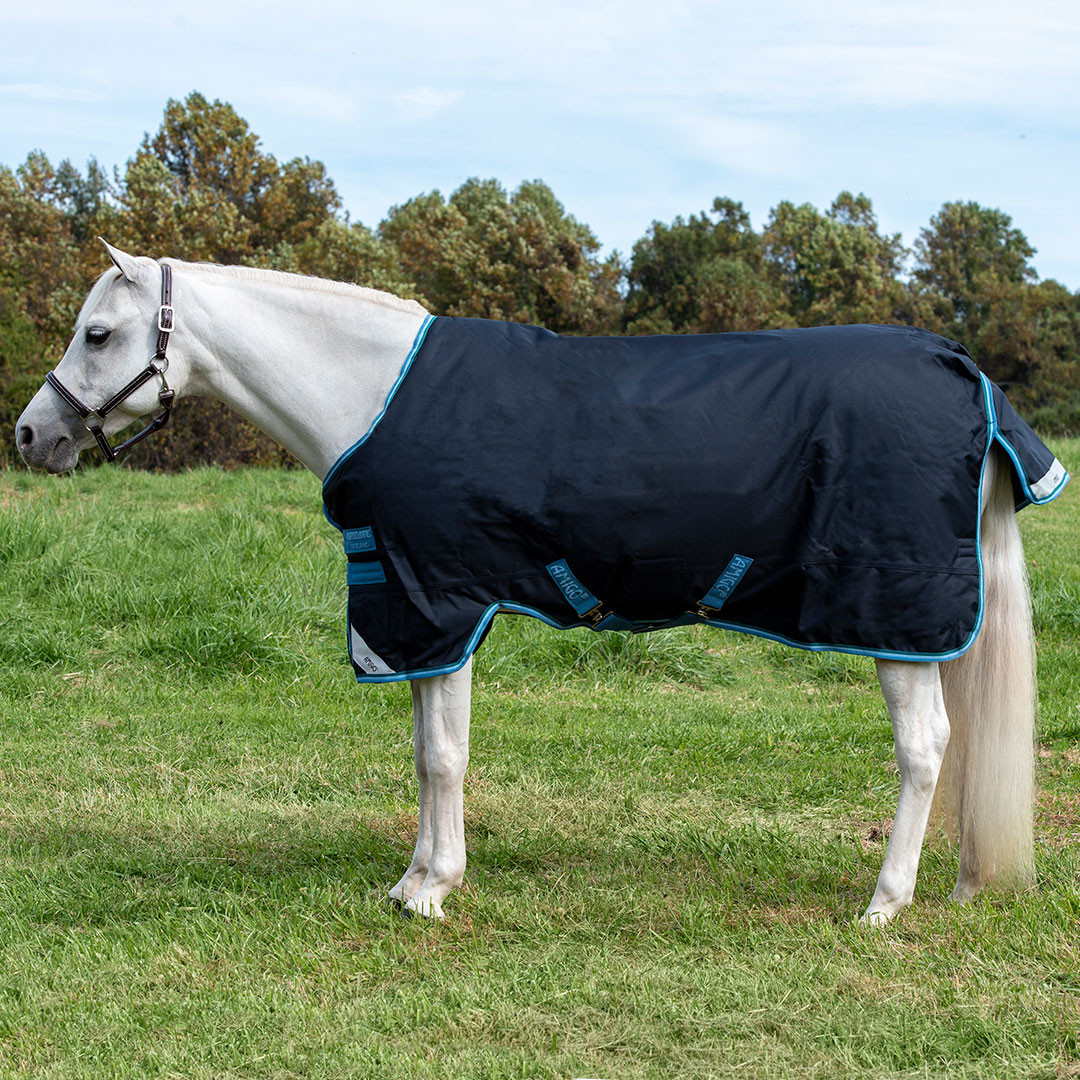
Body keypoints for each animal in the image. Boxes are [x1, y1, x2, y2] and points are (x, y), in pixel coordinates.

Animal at [15, 241, 1068, 926]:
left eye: (98, 333)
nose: (32, 434)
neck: (374, 393)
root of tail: (963, 368)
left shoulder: (434, 603)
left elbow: (443, 756)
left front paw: (433, 890)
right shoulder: (427, 614)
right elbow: (428, 750)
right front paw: (418, 876)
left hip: (890, 612)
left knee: (926, 749)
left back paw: (886, 903)